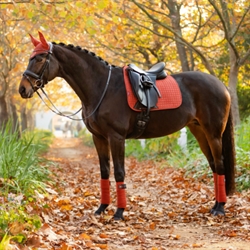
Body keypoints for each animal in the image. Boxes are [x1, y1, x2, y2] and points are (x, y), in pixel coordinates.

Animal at [18, 31, 235, 221]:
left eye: (40, 59)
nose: (22, 89)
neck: (102, 88)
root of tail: (220, 84)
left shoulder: (116, 137)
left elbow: (119, 173)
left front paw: (119, 212)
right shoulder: (99, 138)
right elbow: (104, 172)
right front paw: (102, 208)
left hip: (213, 133)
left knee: (220, 163)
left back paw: (220, 208)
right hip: (199, 131)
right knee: (214, 165)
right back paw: (215, 205)